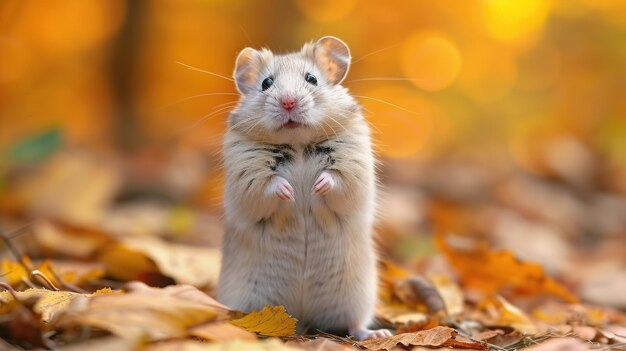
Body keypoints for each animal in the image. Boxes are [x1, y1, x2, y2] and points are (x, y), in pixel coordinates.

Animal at [217, 36, 388, 340]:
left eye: (311, 79)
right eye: (266, 83)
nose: (288, 102)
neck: (296, 142)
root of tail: (302, 319)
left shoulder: (353, 165)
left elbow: (337, 179)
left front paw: (315, 187)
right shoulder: (246, 174)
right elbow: (267, 186)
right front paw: (291, 192)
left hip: (357, 295)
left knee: (355, 323)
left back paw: (376, 334)